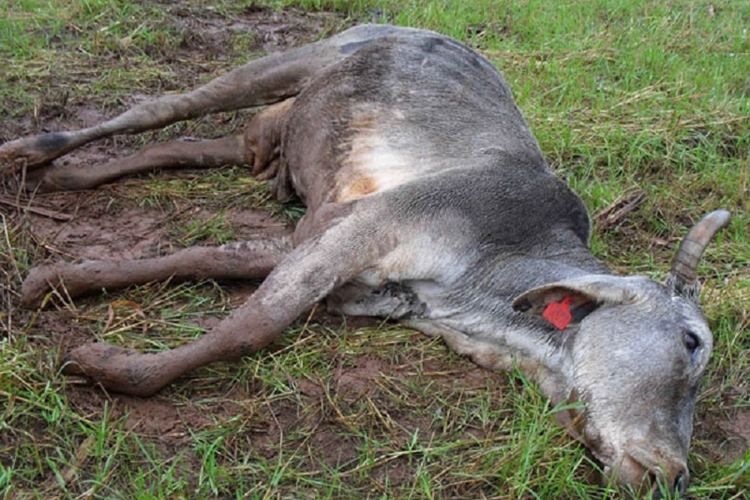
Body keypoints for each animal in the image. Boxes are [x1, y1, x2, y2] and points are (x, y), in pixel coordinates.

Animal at [0, 22, 728, 496]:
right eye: (691, 342)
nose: (671, 476)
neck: (481, 285)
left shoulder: (332, 248)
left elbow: (204, 258)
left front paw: (53, 280)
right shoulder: (367, 229)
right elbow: (251, 327)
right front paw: (107, 364)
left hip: (273, 133)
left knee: (187, 146)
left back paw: (65, 178)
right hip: (291, 61)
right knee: (158, 109)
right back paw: (29, 153)